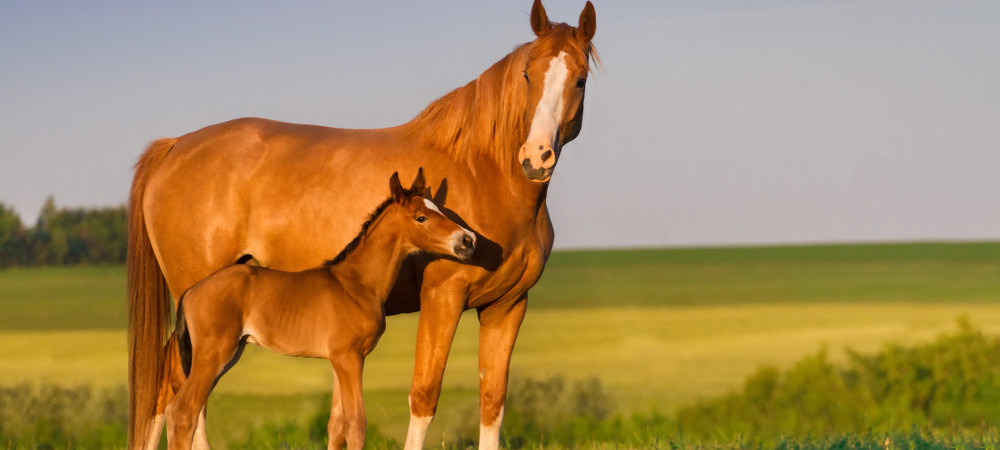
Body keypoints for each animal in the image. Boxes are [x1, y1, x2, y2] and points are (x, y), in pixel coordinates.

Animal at [165, 171, 476, 448]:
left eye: (439, 210)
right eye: (421, 217)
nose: (467, 240)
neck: (356, 284)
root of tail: (190, 292)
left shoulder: (341, 360)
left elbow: (337, 425)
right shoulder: (350, 358)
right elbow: (356, 424)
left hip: (228, 355)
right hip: (214, 354)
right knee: (183, 412)